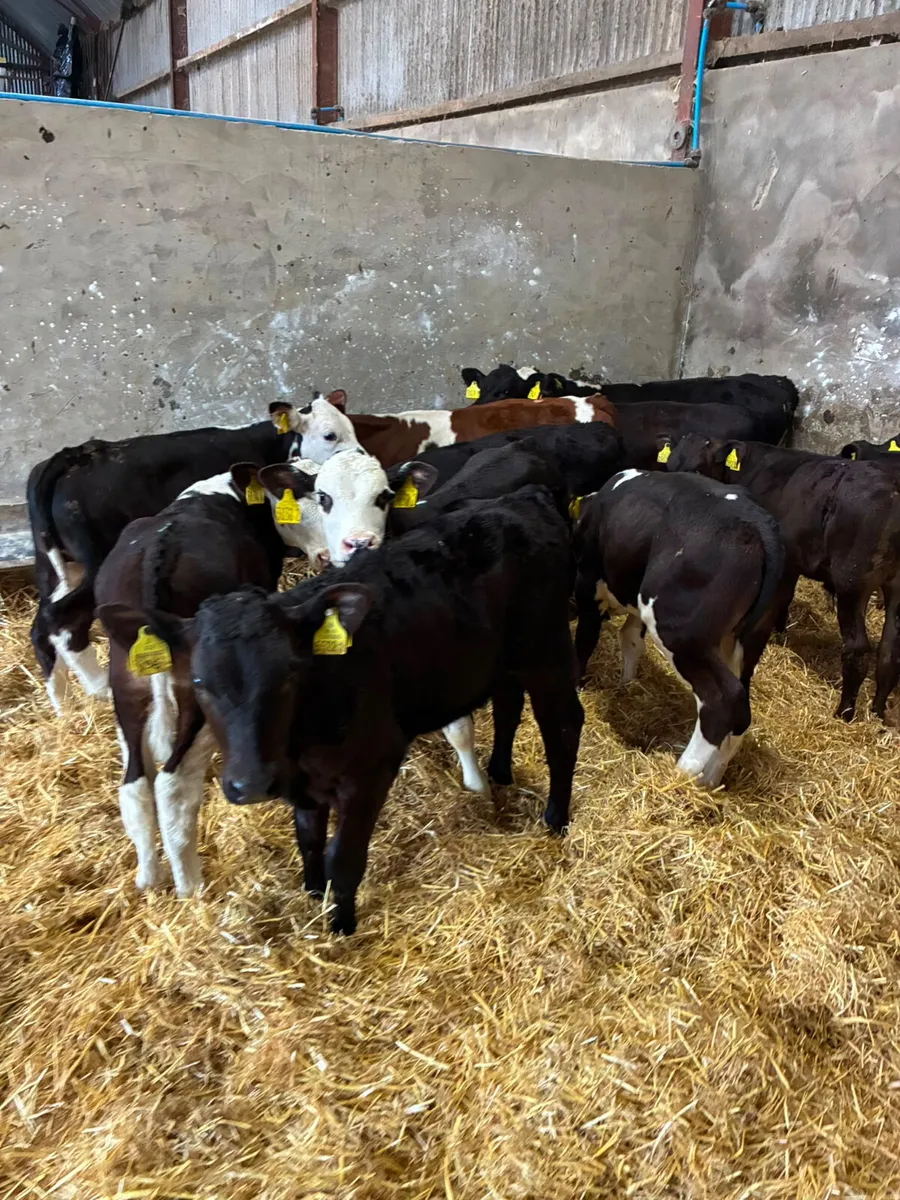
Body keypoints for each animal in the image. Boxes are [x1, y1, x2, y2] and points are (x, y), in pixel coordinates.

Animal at [28, 394, 355, 713]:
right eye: (329, 435)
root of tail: (74, 455)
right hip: (92, 561)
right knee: (62, 616)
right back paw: (98, 687)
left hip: (55, 566)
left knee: (42, 623)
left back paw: (62, 702)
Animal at [95, 463, 330, 897]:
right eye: (308, 500)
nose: (326, 555)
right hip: (195, 711)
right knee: (172, 788)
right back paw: (190, 887)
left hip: (127, 692)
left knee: (135, 785)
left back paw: (148, 879)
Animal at [109, 486, 584, 935]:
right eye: (199, 682)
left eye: (290, 672)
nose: (252, 783)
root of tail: (520, 498)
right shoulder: (301, 785)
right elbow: (308, 838)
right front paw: (312, 891)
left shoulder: (370, 770)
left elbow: (344, 854)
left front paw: (341, 923)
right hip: (504, 660)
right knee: (508, 704)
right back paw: (500, 773)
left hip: (548, 652)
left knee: (563, 726)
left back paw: (555, 819)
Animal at [572, 469, 785, 786]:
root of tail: (759, 526)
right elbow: (630, 639)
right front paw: (627, 685)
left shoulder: (589, 585)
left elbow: (584, 642)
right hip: (745, 642)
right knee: (741, 712)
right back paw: (710, 780)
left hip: (680, 633)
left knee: (723, 699)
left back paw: (682, 772)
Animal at [665, 435, 900, 721]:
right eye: (669, 465)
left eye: (698, 469)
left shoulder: (785, 561)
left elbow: (781, 599)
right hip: (895, 588)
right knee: (890, 648)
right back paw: (878, 710)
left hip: (852, 583)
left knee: (857, 649)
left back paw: (844, 712)